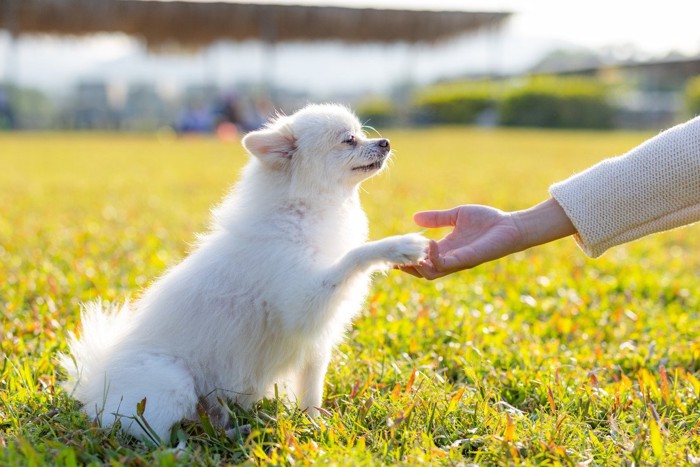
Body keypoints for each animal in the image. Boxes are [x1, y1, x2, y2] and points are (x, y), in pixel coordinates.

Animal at [60, 104, 430, 444]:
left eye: (361, 134)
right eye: (348, 140)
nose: (385, 141)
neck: (303, 211)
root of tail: (95, 387)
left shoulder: (316, 343)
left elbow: (311, 391)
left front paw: (315, 427)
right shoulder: (305, 303)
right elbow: (353, 256)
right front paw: (398, 246)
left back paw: (236, 429)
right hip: (171, 382)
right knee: (155, 435)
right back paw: (187, 449)